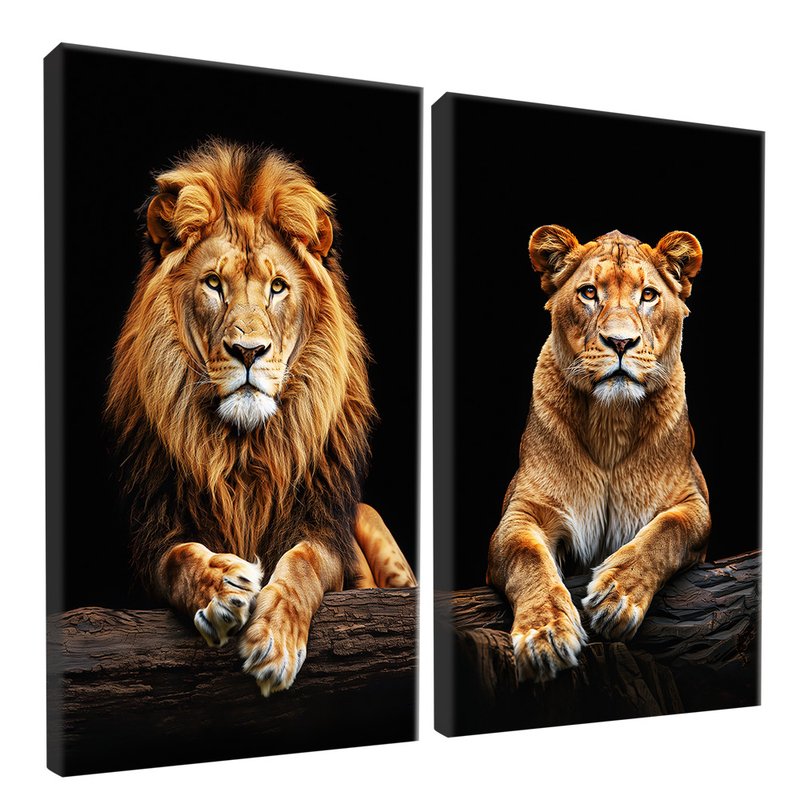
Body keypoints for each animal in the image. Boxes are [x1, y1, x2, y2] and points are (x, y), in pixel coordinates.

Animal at [105, 140, 416, 696]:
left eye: (277, 287)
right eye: (213, 284)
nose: (248, 351)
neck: (243, 450)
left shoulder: (322, 531)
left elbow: (302, 564)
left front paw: (273, 642)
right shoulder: (152, 535)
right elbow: (178, 559)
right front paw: (221, 585)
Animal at [487, 225, 711, 683]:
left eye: (648, 295)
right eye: (589, 292)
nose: (620, 342)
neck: (612, 424)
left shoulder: (693, 502)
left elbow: (667, 532)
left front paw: (616, 597)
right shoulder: (522, 510)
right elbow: (525, 556)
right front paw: (544, 636)